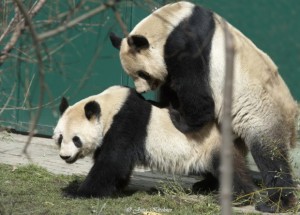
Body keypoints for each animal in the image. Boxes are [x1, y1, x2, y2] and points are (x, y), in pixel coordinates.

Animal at [52, 85, 254, 203]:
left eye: (76, 139)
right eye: (61, 138)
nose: (64, 156)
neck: (109, 107)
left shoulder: (125, 123)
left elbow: (111, 162)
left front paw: (79, 192)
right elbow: (117, 165)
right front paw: (118, 186)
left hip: (213, 142)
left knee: (230, 168)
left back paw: (239, 196)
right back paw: (205, 185)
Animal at [109, 1, 298, 212]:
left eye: (142, 73)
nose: (141, 91)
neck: (169, 23)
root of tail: (292, 116)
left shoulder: (187, 45)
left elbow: (197, 95)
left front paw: (178, 118)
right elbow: (171, 87)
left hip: (261, 113)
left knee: (270, 155)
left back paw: (276, 202)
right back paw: (208, 184)